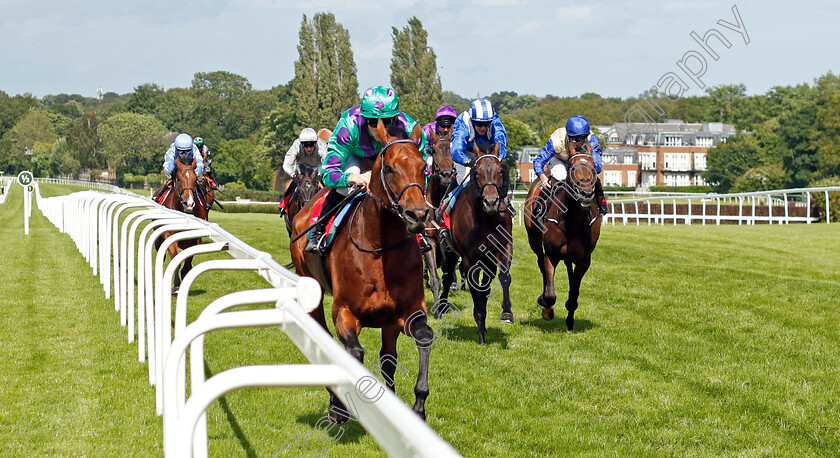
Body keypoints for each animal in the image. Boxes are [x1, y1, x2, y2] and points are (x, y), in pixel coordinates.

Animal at [158, 157, 210, 294]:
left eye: (195, 179)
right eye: (179, 179)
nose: (189, 203)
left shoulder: (193, 240)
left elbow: (187, 264)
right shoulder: (169, 235)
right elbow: (175, 259)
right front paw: (176, 285)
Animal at [288, 120, 434, 420]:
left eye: (423, 168)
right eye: (389, 168)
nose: (418, 215)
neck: (380, 249)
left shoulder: (405, 312)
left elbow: (420, 339)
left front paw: (418, 404)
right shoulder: (344, 311)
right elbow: (352, 352)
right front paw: (340, 407)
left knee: (388, 357)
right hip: (311, 287)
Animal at [440, 143, 512, 344]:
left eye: (500, 171)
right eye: (477, 172)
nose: (491, 202)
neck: (485, 218)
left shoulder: (503, 248)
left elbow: (504, 277)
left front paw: (506, 312)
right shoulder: (469, 260)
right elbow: (475, 290)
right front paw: (481, 334)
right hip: (450, 250)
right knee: (447, 276)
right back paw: (441, 307)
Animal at [520, 143, 600, 330]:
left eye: (594, 168)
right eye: (572, 168)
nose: (586, 194)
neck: (573, 222)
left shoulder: (584, 259)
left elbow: (574, 291)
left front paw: (570, 318)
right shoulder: (552, 254)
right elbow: (550, 294)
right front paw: (546, 308)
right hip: (534, 239)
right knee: (540, 262)